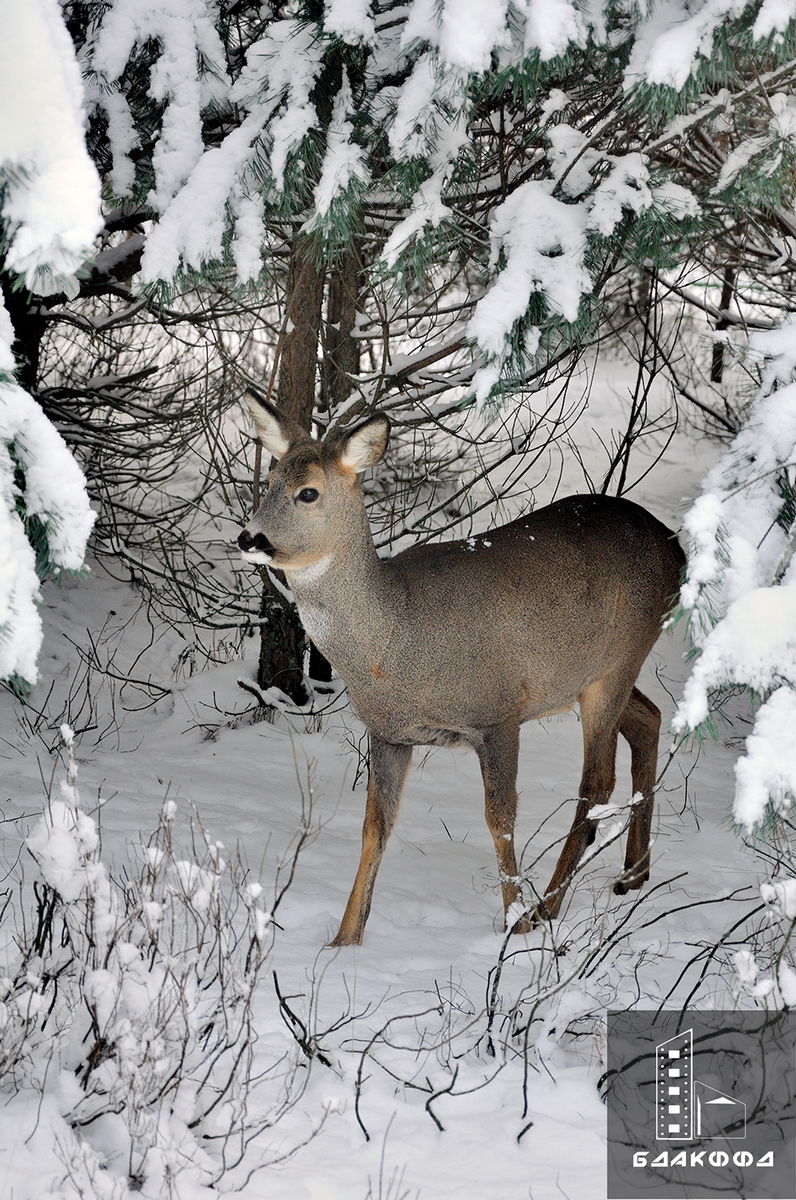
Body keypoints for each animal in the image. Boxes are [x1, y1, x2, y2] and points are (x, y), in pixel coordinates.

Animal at [236, 393, 686, 945]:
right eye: (269, 479)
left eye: (308, 493)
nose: (249, 538)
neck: (395, 639)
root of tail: (676, 546)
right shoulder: (389, 733)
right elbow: (374, 827)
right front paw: (345, 940)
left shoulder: (497, 715)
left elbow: (500, 819)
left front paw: (515, 924)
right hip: (592, 675)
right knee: (649, 719)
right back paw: (633, 875)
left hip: (618, 661)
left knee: (597, 781)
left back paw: (550, 907)